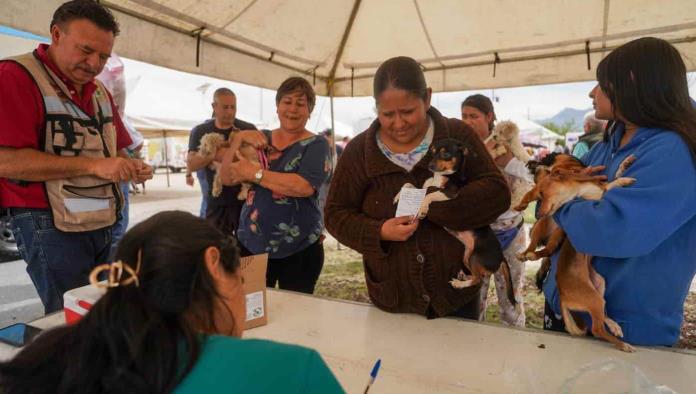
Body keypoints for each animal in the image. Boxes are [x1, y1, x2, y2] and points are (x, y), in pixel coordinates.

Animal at [394, 139, 520, 308]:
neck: (440, 177)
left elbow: (431, 194)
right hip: (467, 256)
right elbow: (409, 185)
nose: (430, 166)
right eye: (432, 151)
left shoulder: (450, 194)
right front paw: (398, 195)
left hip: (475, 257)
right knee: (475, 276)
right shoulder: (423, 187)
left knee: (478, 279)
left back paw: (460, 284)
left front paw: (422, 208)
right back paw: (462, 277)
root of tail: (501, 257)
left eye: (446, 154)